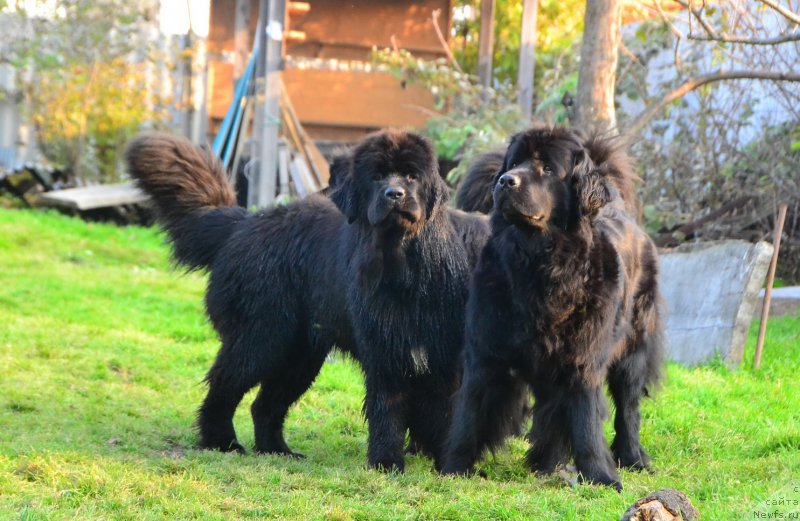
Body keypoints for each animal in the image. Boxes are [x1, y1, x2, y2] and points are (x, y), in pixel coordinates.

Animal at [126, 128, 490, 470]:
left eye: (412, 176)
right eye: (376, 177)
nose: (394, 194)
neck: (404, 268)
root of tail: (244, 223)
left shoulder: (442, 355)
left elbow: (445, 415)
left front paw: (447, 463)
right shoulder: (384, 353)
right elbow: (387, 409)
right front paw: (386, 463)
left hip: (300, 354)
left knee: (265, 404)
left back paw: (277, 450)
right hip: (260, 339)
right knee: (224, 387)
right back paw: (222, 442)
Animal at [444, 127, 664, 492]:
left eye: (547, 169)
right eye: (514, 163)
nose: (506, 181)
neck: (538, 263)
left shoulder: (584, 357)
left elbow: (587, 420)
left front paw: (601, 476)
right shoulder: (485, 351)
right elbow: (469, 413)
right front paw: (454, 468)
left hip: (633, 349)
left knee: (628, 407)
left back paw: (632, 458)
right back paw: (546, 463)